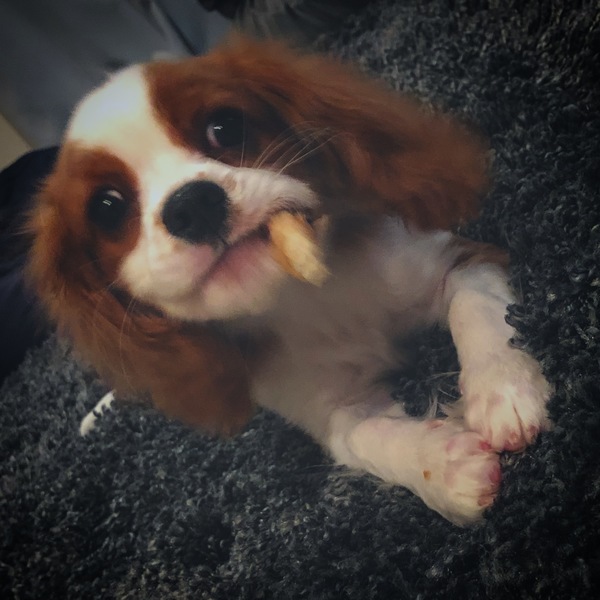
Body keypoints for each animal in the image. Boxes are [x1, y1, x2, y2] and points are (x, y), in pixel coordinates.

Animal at [28, 37, 551, 525]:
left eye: (225, 126)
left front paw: (503, 392)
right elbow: (370, 437)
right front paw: (444, 469)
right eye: (108, 207)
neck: (305, 293)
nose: (191, 203)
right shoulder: (336, 408)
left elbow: (478, 309)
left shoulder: (461, 261)